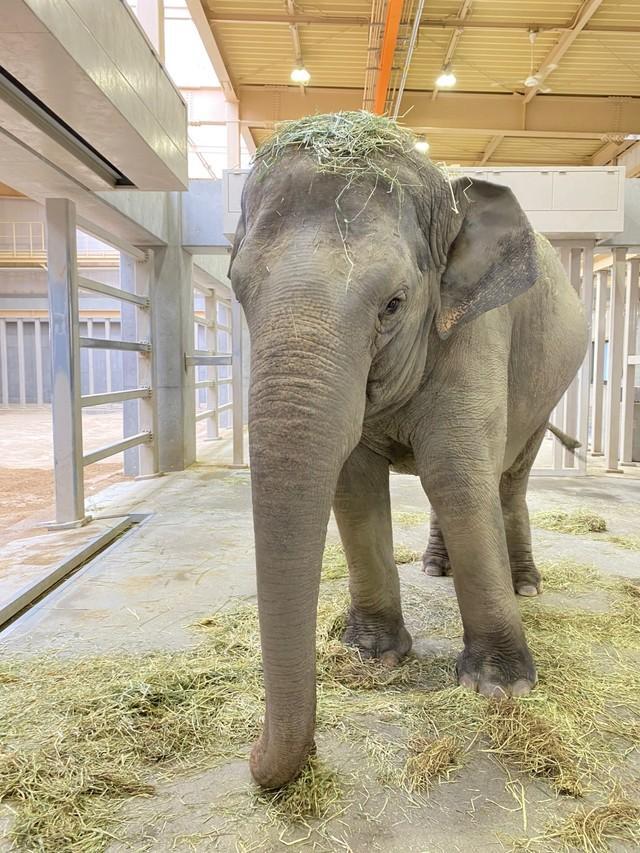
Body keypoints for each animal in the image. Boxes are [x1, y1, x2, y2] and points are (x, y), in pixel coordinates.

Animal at [226, 111, 592, 784]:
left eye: (394, 304)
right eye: (237, 291)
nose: (254, 759)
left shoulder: (477, 327)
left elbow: (457, 474)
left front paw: (501, 688)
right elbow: (353, 485)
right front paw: (371, 657)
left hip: (549, 386)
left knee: (504, 478)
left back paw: (526, 584)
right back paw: (434, 568)